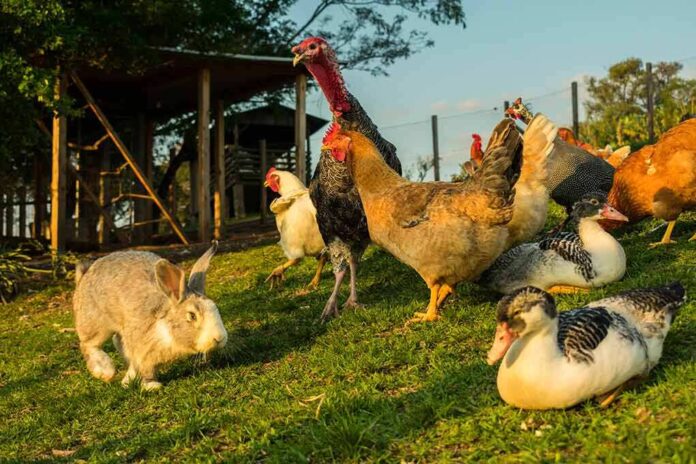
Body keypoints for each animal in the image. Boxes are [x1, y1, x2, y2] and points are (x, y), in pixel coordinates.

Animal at [72, 242, 227, 390]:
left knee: (117, 341)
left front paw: (130, 381)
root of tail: (84, 276)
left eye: (215, 308)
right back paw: (105, 372)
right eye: (192, 316)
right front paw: (151, 386)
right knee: (88, 344)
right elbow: (146, 370)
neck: (166, 330)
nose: (220, 338)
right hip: (96, 324)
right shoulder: (142, 350)